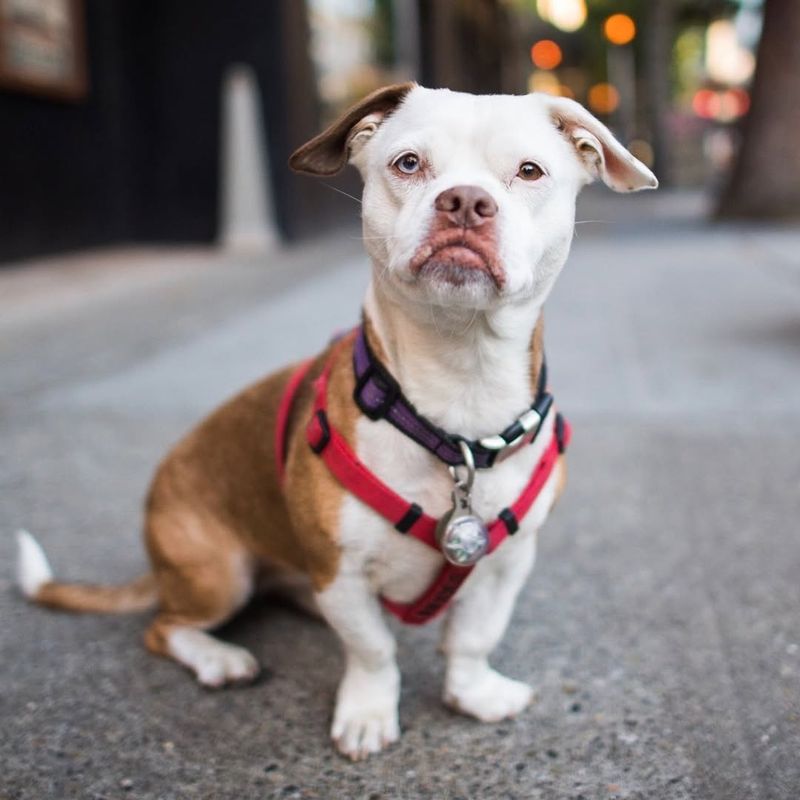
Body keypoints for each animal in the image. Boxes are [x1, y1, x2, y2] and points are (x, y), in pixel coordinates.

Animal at [17, 84, 656, 760]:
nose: (465, 201)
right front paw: (370, 712)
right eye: (408, 163)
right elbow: (372, 649)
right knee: (163, 628)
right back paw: (218, 657)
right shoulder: (339, 572)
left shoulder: (507, 564)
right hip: (217, 574)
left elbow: (474, 635)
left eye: (529, 171)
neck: (459, 394)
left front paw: (473, 692)